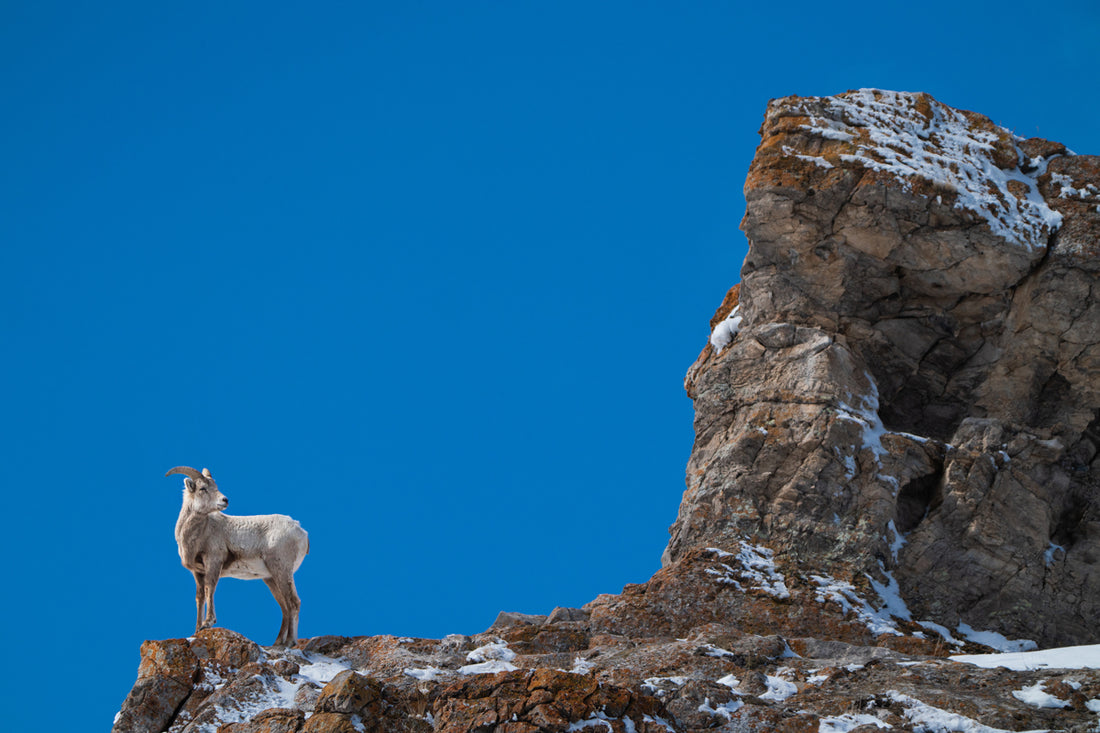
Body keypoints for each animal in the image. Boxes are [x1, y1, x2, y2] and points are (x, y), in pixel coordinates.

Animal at [167, 466, 310, 647]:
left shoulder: (213, 562)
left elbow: (209, 589)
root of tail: (301, 531)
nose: (225, 500)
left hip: (282, 571)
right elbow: (200, 597)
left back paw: (290, 642)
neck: (199, 532)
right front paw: (197, 629)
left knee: (293, 603)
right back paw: (277, 643)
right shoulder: (197, 572)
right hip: (270, 578)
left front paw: (208, 623)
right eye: (203, 488)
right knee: (284, 606)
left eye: (215, 486)